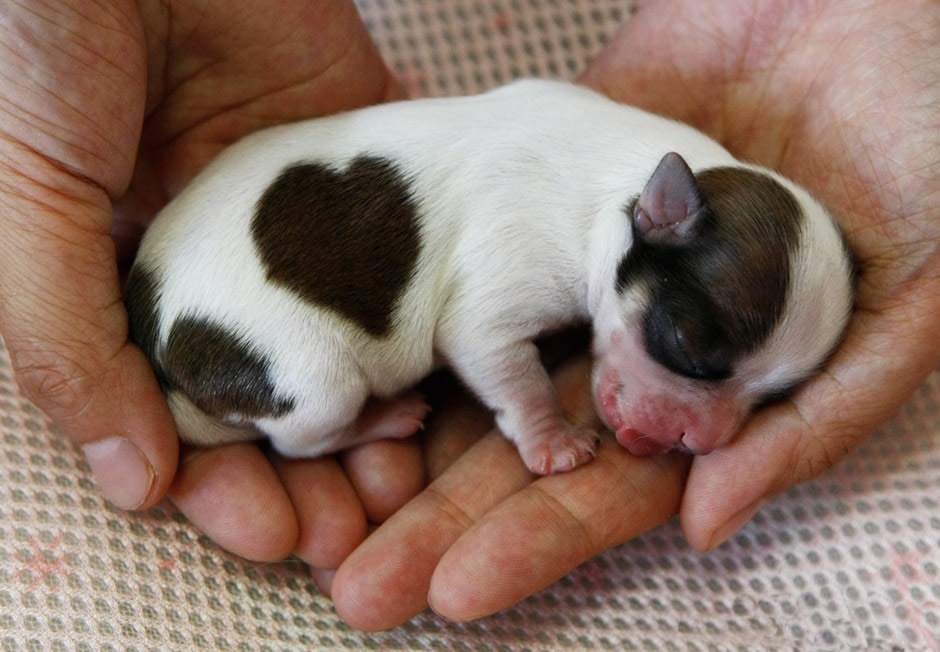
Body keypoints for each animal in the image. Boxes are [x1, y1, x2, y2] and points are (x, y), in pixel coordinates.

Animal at [121, 80, 856, 474]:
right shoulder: (501, 290)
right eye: (686, 349)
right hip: (311, 377)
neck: (622, 180)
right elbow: (513, 373)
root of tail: (150, 325)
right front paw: (554, 441)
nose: (691, 443)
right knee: (304, 439)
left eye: (773, 395)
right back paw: (383, 419)